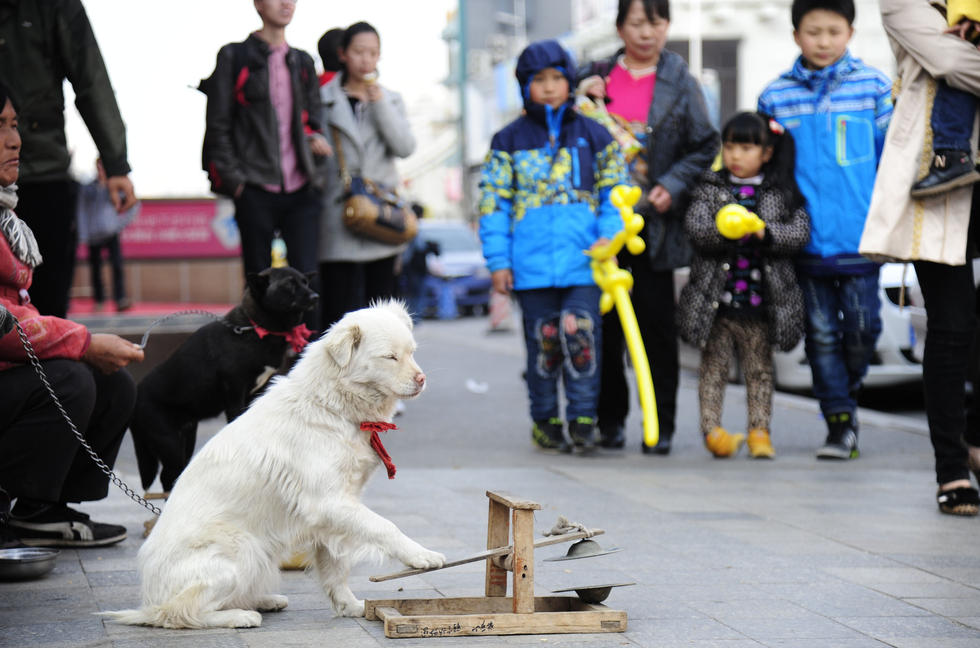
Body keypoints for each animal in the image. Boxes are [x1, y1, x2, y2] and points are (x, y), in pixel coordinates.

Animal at [102, 300, 444, 628]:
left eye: (411, 352)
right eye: (390, 357)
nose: (422, 379)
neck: (330, 405)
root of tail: (149, 599)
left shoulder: (332, 515)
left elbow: (336, 568)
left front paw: (351, 607)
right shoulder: (329, 502)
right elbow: (385, 527)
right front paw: (420, 556)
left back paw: (262, 601)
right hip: (242, 548)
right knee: (179, 613)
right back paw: (239, 616)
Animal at [129, 264, 318, 492]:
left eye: (305, 282)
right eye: (289, 285)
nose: (315, 296)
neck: (254, 329)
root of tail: (137, 394)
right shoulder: (235, 394)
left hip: (186, 439)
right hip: (168, 442)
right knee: (168, 476)